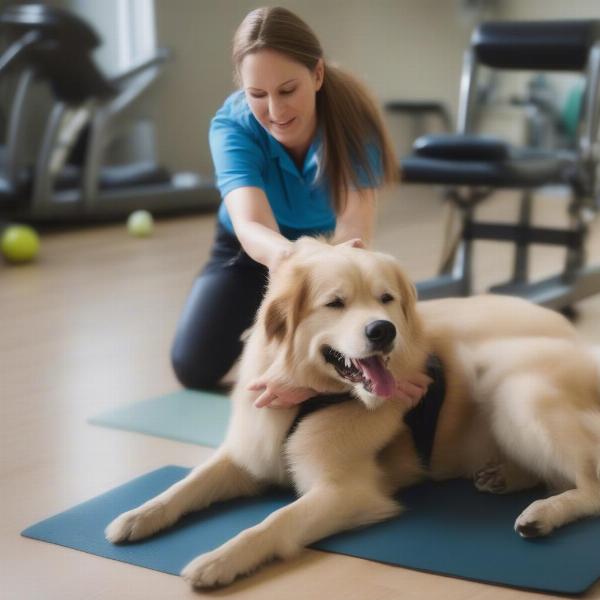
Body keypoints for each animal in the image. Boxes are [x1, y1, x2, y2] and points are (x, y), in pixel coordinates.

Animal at [105, 238, 600, 584]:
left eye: (386, 299)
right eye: (336, 303)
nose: (383, 331)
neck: (309, 398)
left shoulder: (346, 492)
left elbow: (271, 523)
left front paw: (218, 560)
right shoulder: (246, 455)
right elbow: (184, 486)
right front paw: (138, 515)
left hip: (519, 391)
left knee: (590, 487)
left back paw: (542, 514)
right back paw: (504, 476)